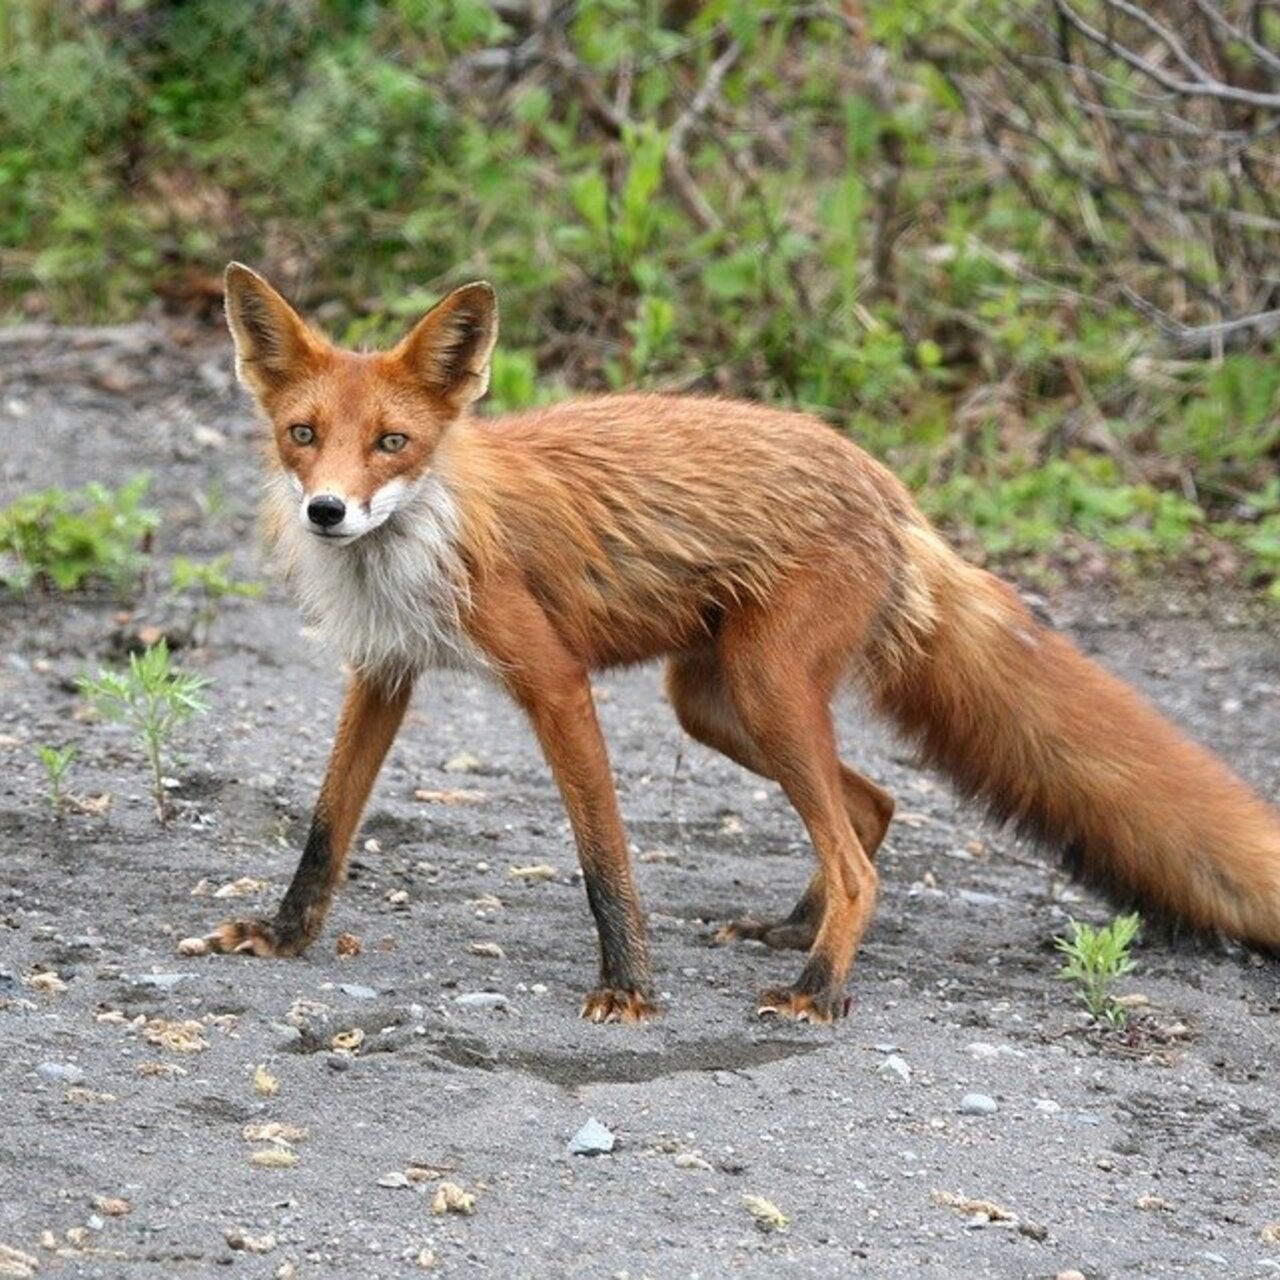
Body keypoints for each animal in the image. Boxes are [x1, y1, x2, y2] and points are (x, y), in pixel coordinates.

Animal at [215, 264, 1280, 1024]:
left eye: (391, 443)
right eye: (303, 433)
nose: (326, 512)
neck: (422, 535)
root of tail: (889, 490)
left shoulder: (554, 681)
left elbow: (604, 858)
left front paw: (631, 989)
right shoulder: (384, 671)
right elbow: (326, 829)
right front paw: (284, 934)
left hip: (764, 691)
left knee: (859, 859)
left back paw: (819, 987)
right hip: (717, 704)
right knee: (872, 807)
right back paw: (795, 931)